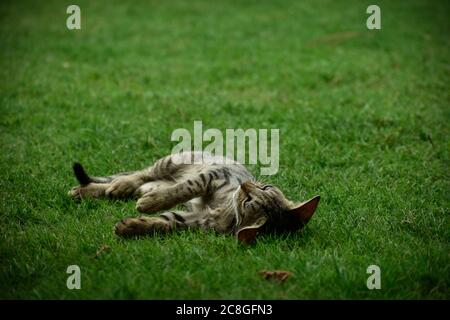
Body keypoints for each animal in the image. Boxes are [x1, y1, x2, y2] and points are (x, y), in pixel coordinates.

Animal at [68, 151, 318, 244]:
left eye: (248, 201)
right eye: (265, 186)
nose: (245, 184)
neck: (225, 210)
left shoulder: (194, 220)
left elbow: (164, 222)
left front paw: (132, 226)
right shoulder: (212, 176)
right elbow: (184, 189)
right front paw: (152, 203)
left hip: (158, 179)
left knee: (139, 184)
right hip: (173, 161)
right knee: (140, 174)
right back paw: (118, 186)